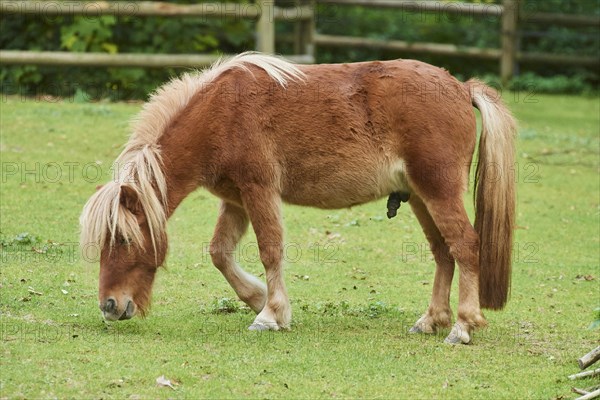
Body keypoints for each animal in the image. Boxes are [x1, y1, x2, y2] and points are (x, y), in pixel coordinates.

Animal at [81, 52, 516, 344]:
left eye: (124, 238)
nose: (109, 306)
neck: (221, 114)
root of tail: (461, 88)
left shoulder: (259, 191)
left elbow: (270, 249)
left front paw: (270, 315)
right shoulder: (236, 200)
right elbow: (220, 252)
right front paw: (258, 299)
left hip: (439, 192)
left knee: (465, 246)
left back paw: (462, 325)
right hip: (423, 198)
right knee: (444, 252)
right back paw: (431, 320)